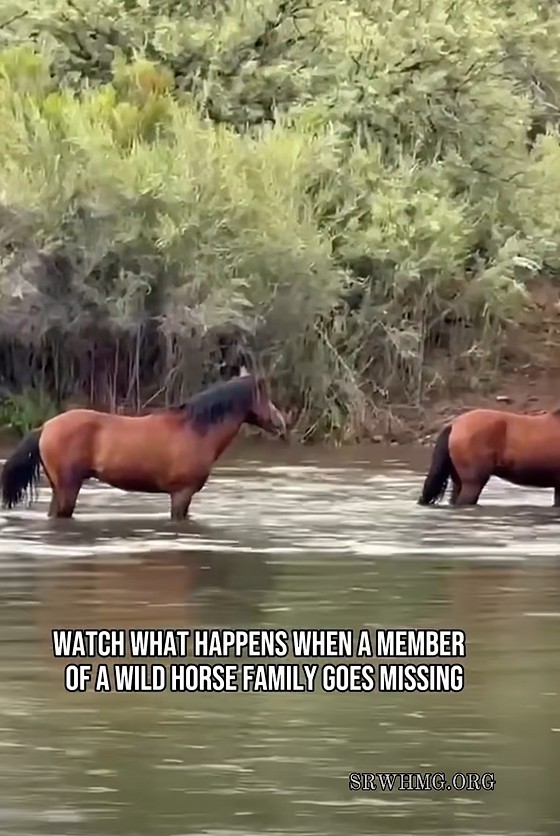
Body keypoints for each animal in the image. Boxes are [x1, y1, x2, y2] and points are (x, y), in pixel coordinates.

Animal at [0, 368, 287, 520]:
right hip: (68, 488)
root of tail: (46, 427)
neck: (196, 430)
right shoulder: (181, 494)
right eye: (264, 396)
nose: (281, 423)